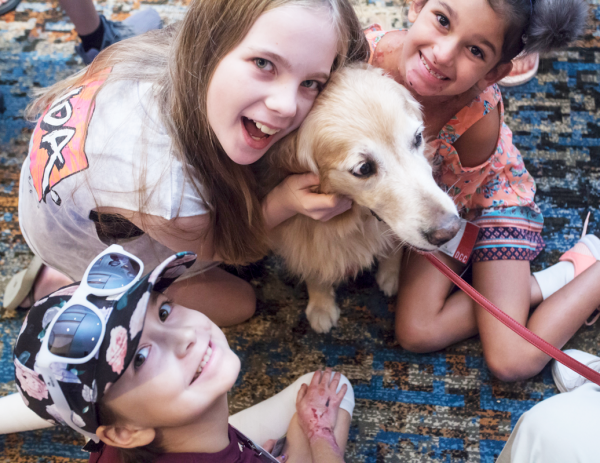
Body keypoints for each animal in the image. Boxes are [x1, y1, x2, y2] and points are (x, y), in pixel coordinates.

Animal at [262, 64, 460, 334]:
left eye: (417, 138)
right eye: (364, 169)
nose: (449, 231)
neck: (359, 218)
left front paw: (392, 274)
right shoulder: (302, 229)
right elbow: (314, 264)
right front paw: (321, 305)